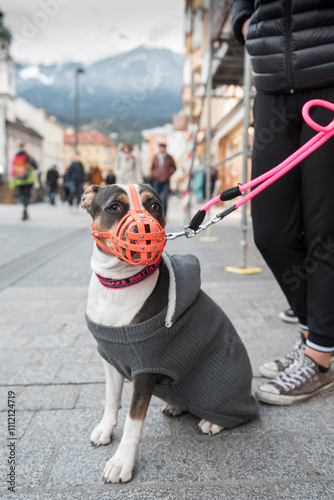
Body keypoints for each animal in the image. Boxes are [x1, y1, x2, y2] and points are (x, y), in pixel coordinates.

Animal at [81, 182, 258, 482]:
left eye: (154, 206)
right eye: (114, 207)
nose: (145, 227)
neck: (120, 284)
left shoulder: (145, 370)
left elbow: (133, 421)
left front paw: (121, 462)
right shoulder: (110, 358)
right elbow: (111, 400)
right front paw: (105, 429)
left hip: (221, 391)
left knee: (243, 414)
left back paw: (213, 421)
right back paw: (175, 405)